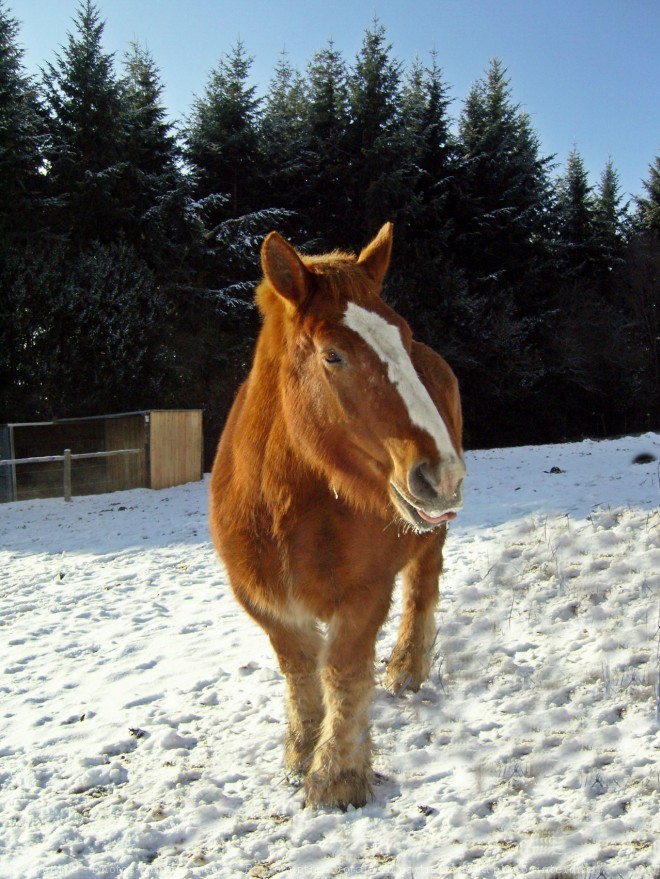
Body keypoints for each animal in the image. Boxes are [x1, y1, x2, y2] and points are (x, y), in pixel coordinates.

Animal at [210, 223, 464, 808]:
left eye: (403, 337)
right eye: (333, 356)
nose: (442, 475)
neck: (285, 510)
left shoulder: (365, 593)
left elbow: (344, 672)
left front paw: (336, 778)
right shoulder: (265, 601)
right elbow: (299, 671)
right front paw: (301, 753)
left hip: (427, 539)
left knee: (423, 586)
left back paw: (407, 669)